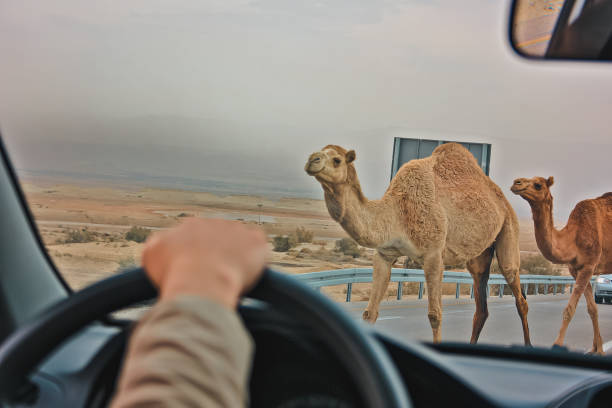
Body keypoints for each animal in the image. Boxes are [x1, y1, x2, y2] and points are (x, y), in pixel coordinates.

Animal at [306, 143, 532, 344]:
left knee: (518, 291)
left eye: (337, 160)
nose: (311, 160)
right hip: (479, 256)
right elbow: (369, 313)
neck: (399, 211)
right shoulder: (384, 255)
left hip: (509, 228)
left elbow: (435, 315)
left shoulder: (433, 255)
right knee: (481, 306)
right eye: (320, 151)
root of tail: (502, 198)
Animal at [512, 177, 612, 352]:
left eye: (538, 185)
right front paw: (597, 349)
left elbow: (569, 310)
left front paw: (557, 346)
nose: (516, 183)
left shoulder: (589, 266)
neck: (574, 237)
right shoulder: (576, 270)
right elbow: (593, 309)